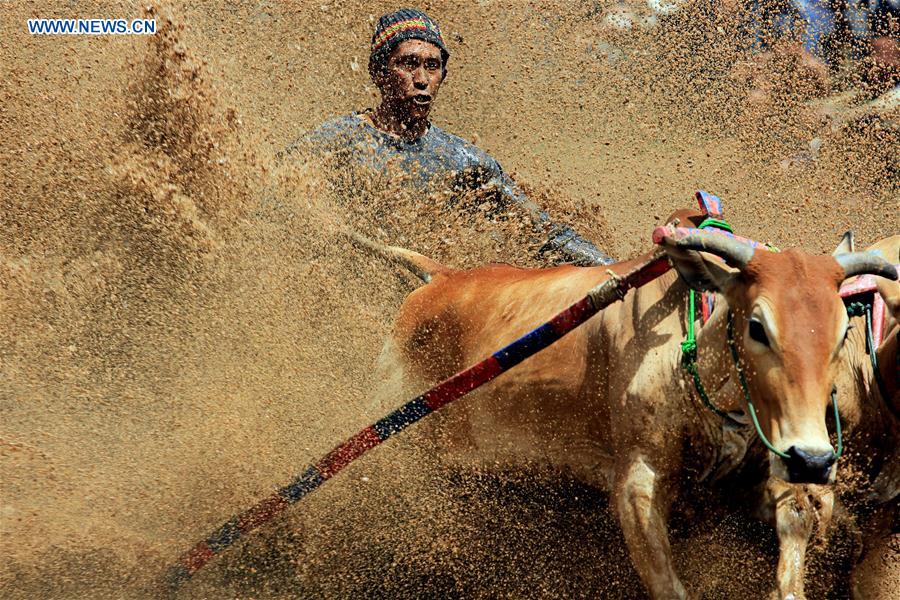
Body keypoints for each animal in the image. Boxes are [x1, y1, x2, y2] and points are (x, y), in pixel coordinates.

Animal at [365, 210, 897, 599]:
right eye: (758, 327)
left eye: (843, 331)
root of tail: (443, 279)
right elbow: (668, 584)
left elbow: (798, 521)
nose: (813, 459)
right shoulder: (637, 482)